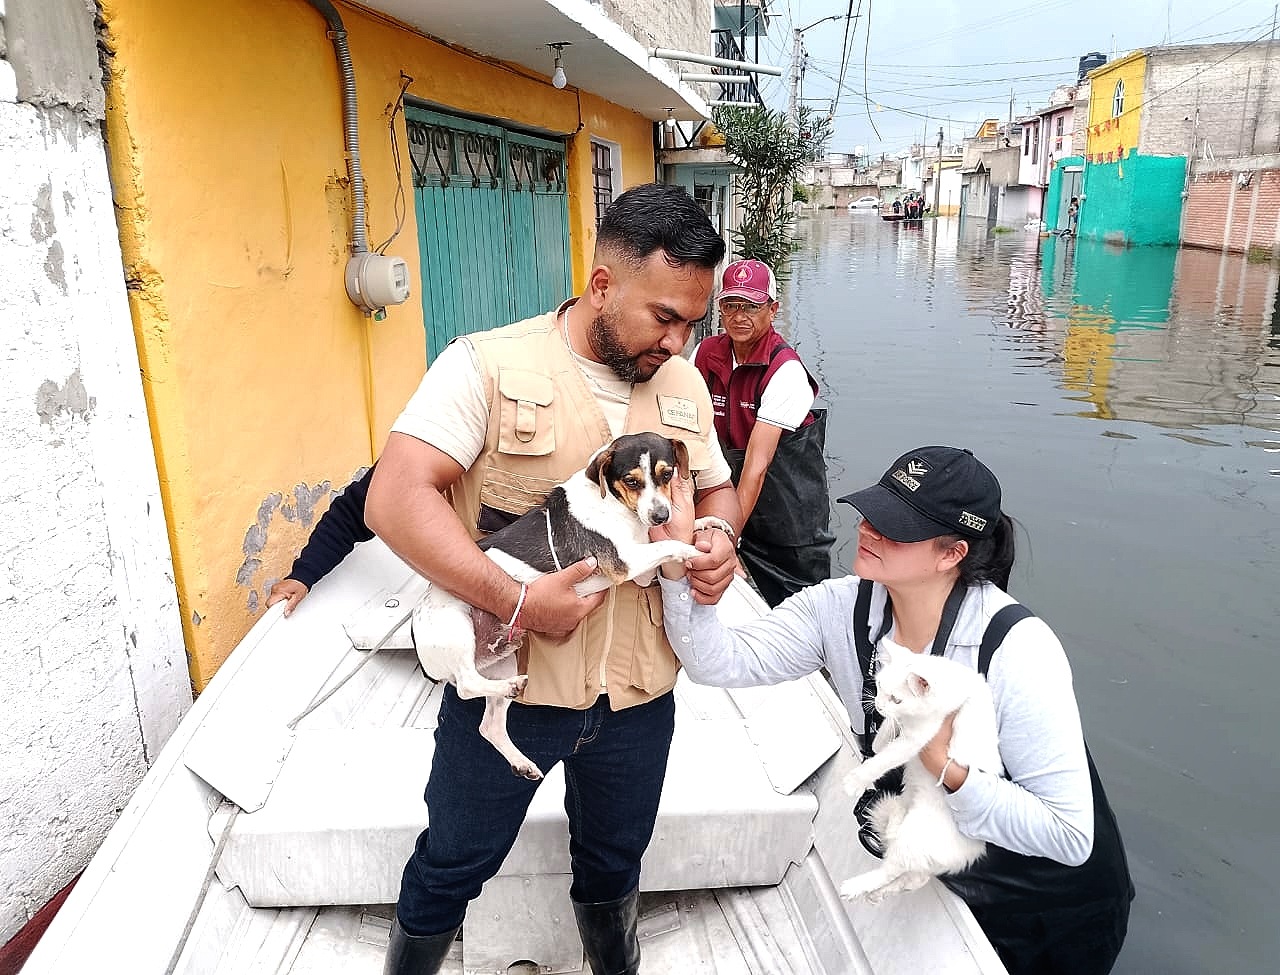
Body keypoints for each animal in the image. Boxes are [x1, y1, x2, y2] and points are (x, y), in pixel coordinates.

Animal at [412, 429, 732, 772]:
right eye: (631, 481)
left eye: (667, 474)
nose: (660, 516)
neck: (618, 506)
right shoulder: (624, 562)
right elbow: (671, 545)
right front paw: (699, 552)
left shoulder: (641, 570)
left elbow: (671, 540)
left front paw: (709, 525)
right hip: (456, 630)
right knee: (465, 685)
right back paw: (511, 688)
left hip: (502, 657)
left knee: (489, 726)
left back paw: (522, 762)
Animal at [834, 634, 1003, 900]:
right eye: (879, 685)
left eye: (897, 699)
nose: (878, 706)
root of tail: (971, 853)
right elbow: (888, 731)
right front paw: (880, 739)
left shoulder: (919, 736)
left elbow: (884, 759)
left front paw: (854, 781)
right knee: (914, 877)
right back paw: (881, 890)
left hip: (914, 837)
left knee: (891, 870)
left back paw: (856, 887)